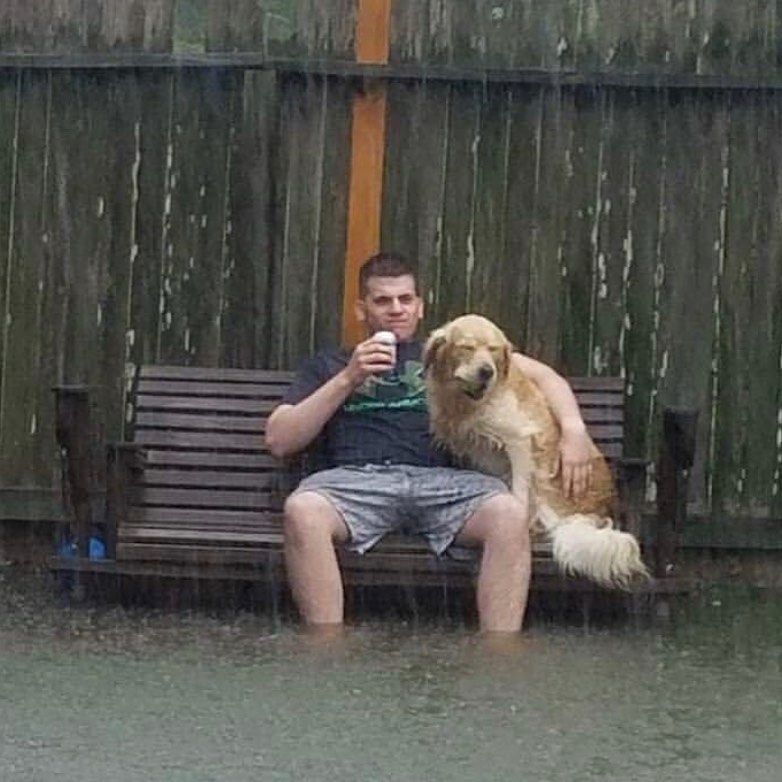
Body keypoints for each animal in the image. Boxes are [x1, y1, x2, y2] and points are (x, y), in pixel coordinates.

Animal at [423, 314, 649, 589]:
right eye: (467, 347)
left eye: (493, 350)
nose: (487, 371)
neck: (467, 402)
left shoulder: (520, 439)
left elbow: (519, 493)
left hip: (547, 487)